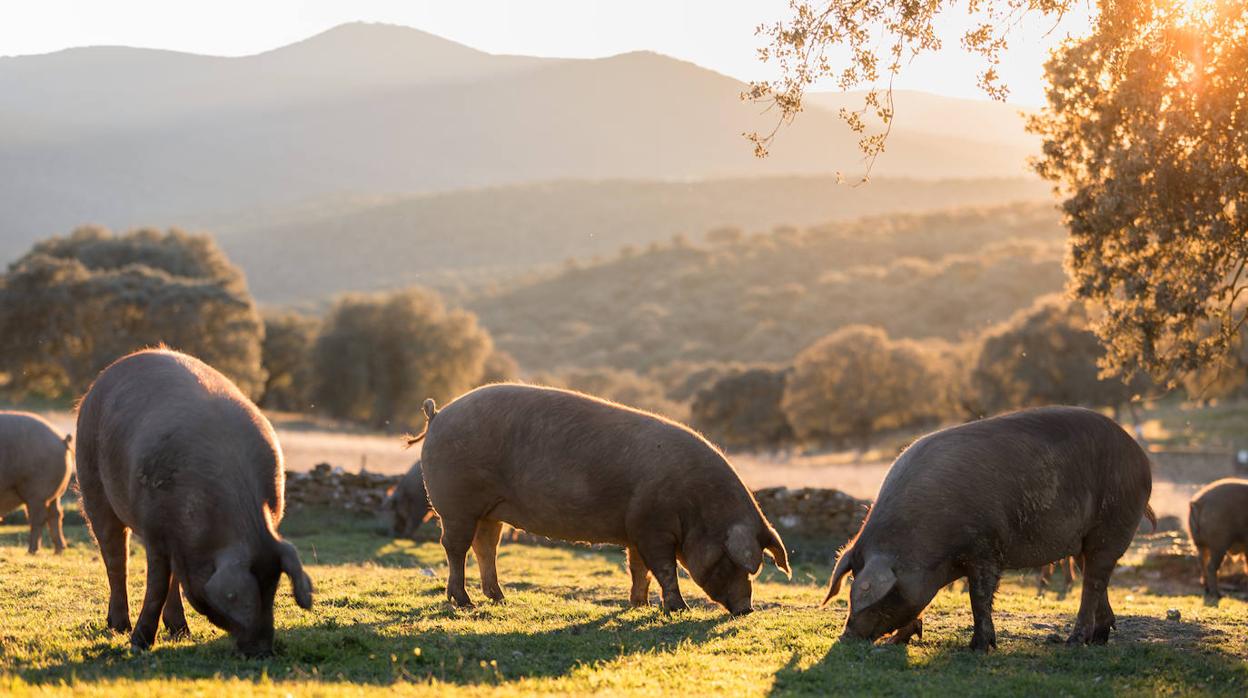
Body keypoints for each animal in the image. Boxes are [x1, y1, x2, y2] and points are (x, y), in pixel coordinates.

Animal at [0, 412, 74, 554]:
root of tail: (61, 440)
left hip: (38, 491)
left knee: (37, 518)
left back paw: (32, 551)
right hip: (55, 494)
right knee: (56, 514)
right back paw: (58, 550)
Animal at [76, 349, 314, 654]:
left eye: (272, 589)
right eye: (246, 597)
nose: (262, 651)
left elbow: (170, 580)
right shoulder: (155, 528)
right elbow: (156, 585)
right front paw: (139, 644)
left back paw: (180, 631)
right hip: (91, 480)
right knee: (116, 558)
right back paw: (119, 627)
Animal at [414, 384, 793, 614]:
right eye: (732, 561)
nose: (746, 610)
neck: (697, 507)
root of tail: (438, 415)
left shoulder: (636, 528)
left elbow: (639, 569)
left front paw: (639, 605)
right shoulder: (653, 527)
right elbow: (664, 568)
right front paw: (678, 609)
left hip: (489, 510)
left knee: (485, 547)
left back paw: (500, 599)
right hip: (456, 504)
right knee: (455, 548)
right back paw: (465, 603)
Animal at [823, 407, 1153, 654]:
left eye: (870, 594)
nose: (846, 636)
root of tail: (1140, 456)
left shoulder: (985, 548)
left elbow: (979, 597)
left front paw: (979, 647)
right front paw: (897, 641)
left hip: (1111, 524)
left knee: (1094, 581)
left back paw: (1074, 642)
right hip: (1084, 541)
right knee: (1095, 578)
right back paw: (1098, 639)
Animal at [1188, 476, 1248, 604]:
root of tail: (1199, 503)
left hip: (1199, 543)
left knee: (1201, 561)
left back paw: (1207, 590)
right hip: (1218, 543)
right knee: (1211, 566)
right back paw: (1218, 595)